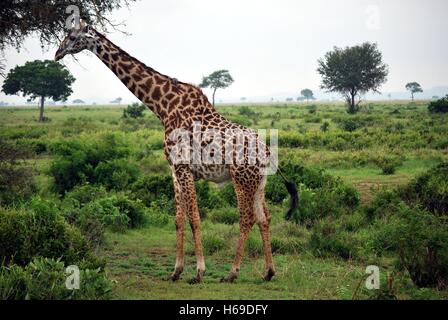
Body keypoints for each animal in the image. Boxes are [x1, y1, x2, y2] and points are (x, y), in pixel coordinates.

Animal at [55, 21, 298, 284]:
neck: (163, 107)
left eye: (71, 36)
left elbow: (195, 218)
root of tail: (268, 153)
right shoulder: (173, 169)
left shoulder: (183, 168)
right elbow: (179, 219)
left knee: (247, 218)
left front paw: (199, 272)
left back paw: (232, 273)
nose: (57, 53)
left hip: (241, 179)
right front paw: (176, 271)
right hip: (258, 182)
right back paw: (268, 271)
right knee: (265, 217)